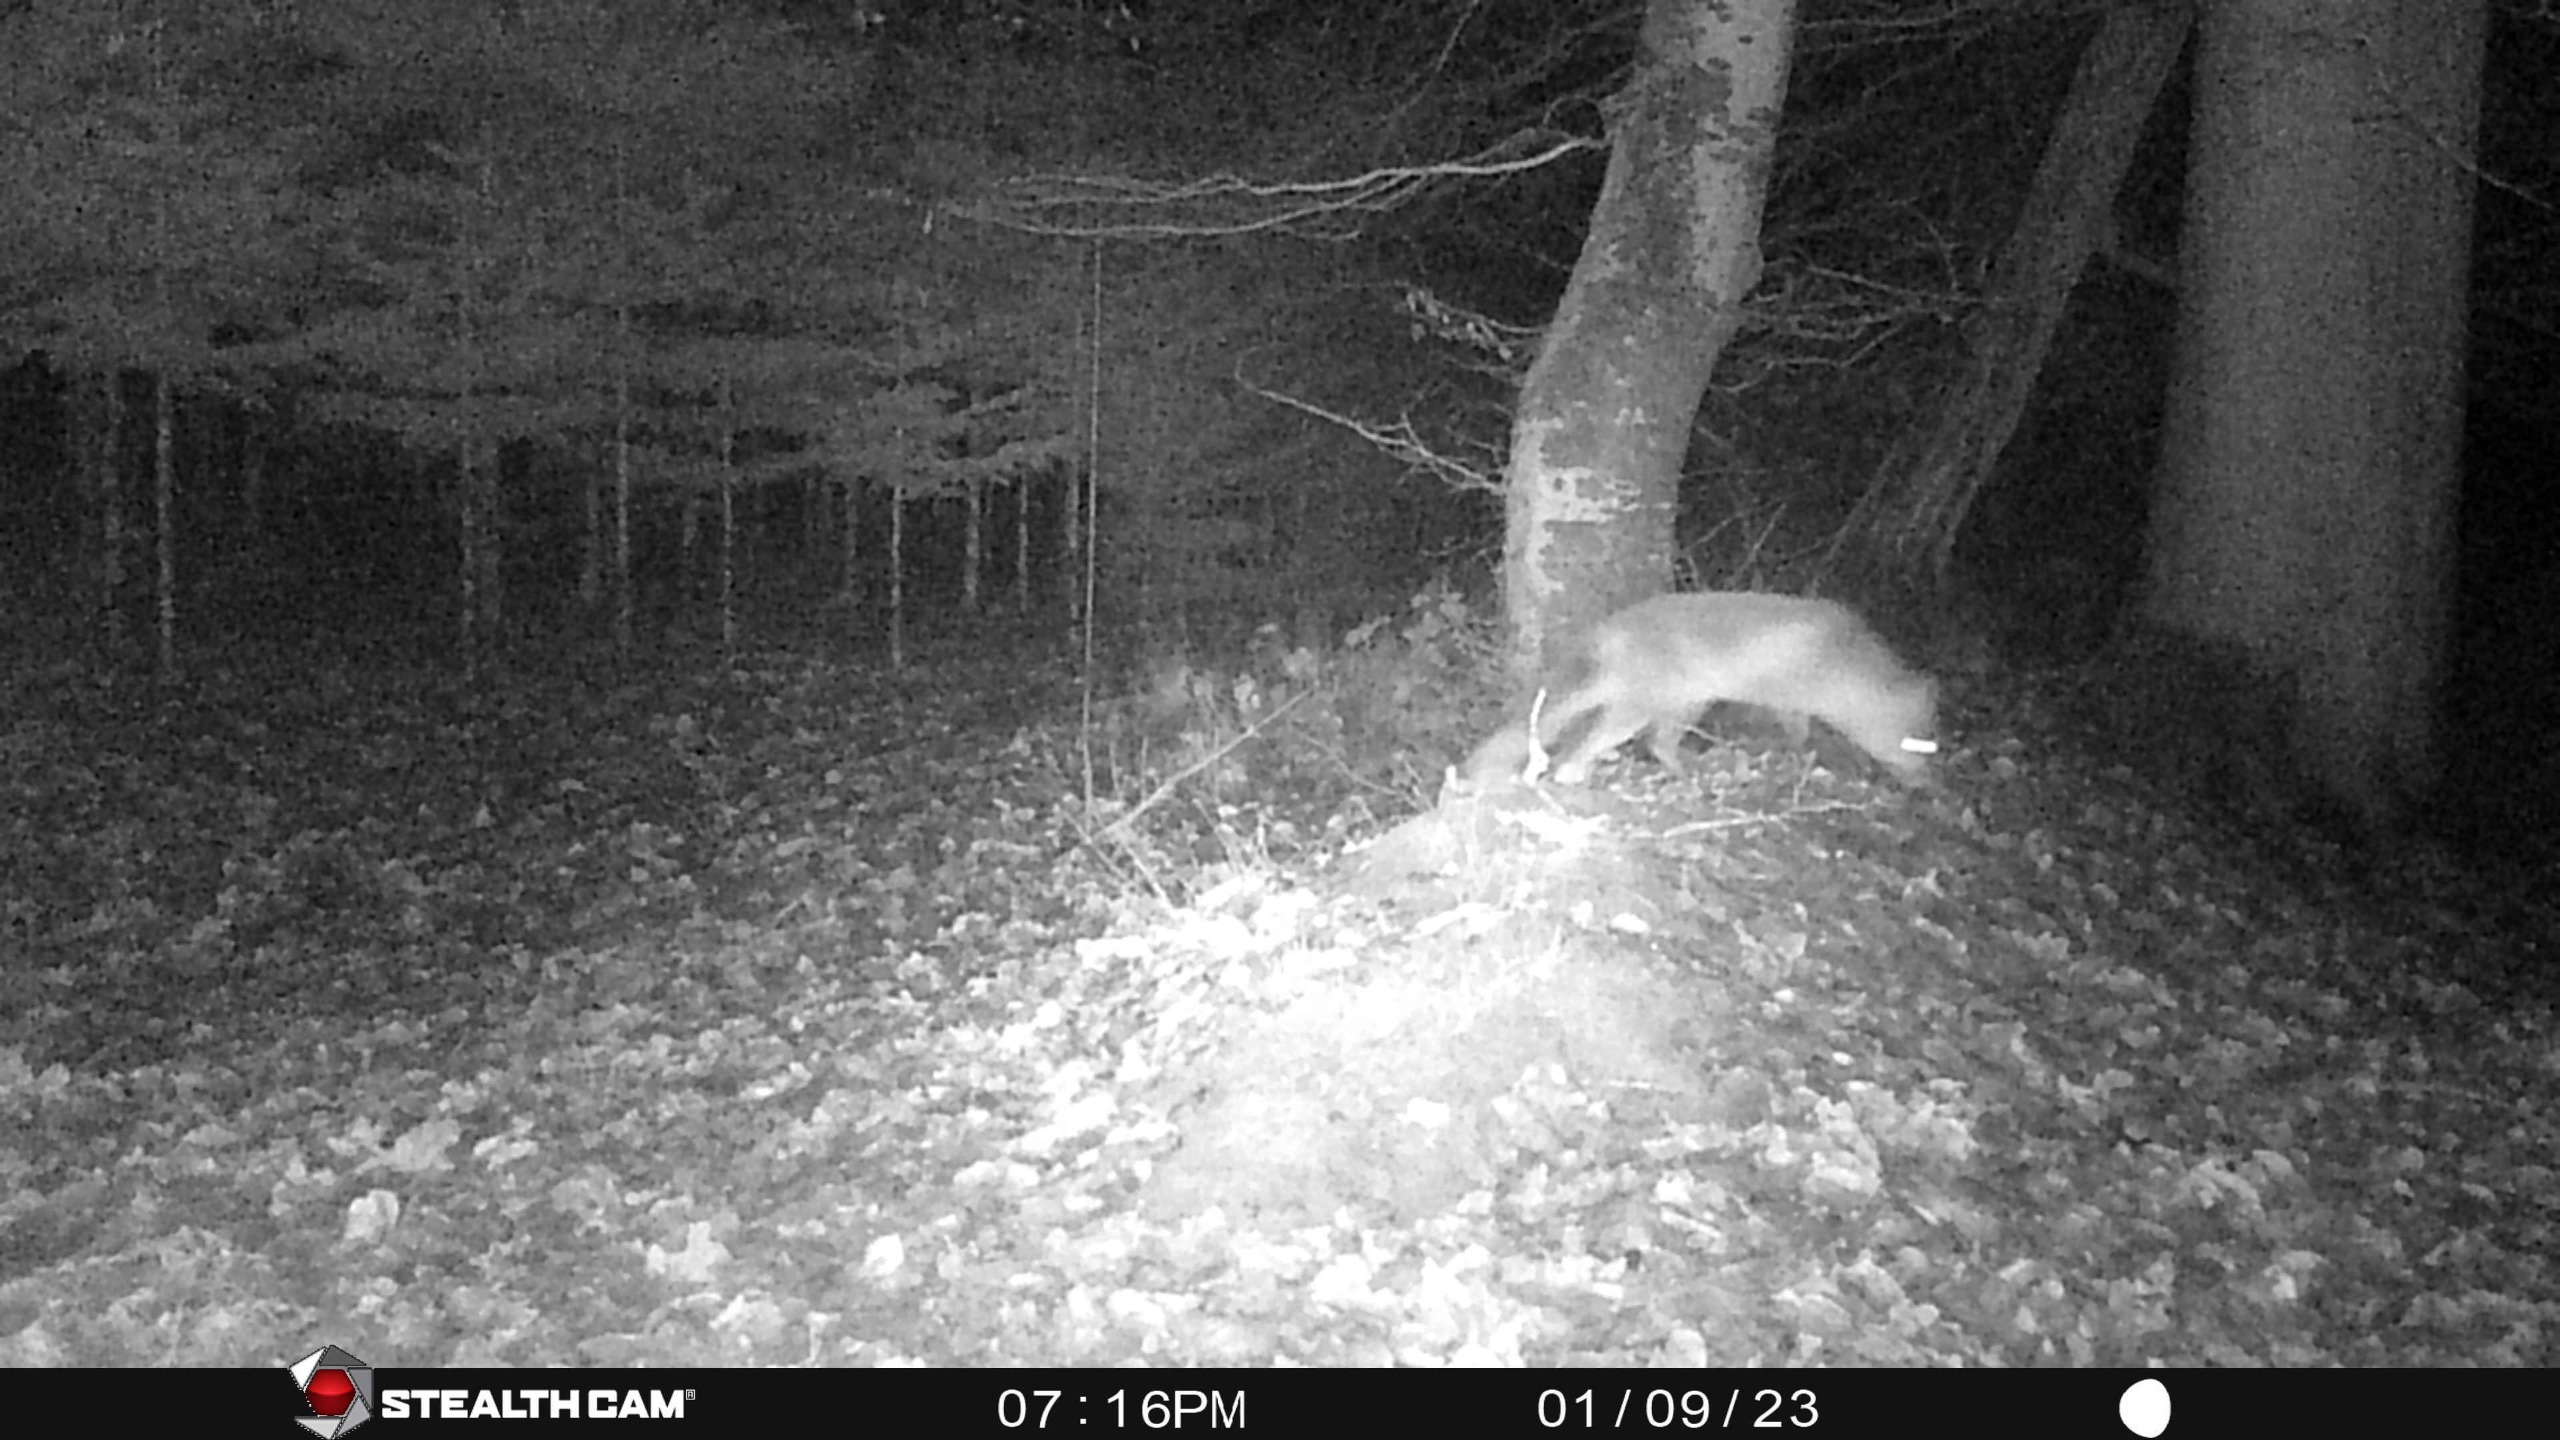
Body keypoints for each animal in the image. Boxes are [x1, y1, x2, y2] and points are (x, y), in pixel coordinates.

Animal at [1464, 592, 1940, 786]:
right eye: (1921, 742)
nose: (1928, 784)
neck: (1844, 661)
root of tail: (1608, 630)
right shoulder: (1783, 697)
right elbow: (1797, 733)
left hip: (1684, 705)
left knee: (1656, 744)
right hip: (1640, 709)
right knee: (1578, 750)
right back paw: (1573, 774)